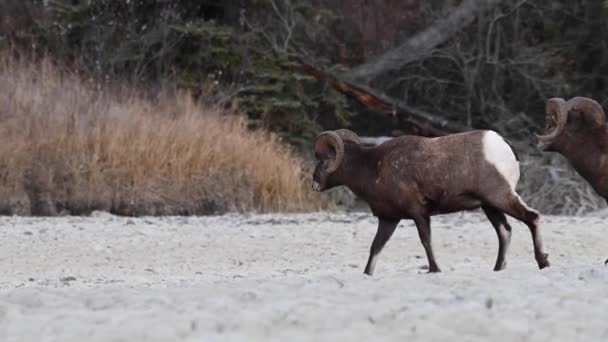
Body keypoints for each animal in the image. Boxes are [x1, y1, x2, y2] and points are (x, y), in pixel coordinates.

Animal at [314, 128, 552, 276]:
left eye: (323, 159)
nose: (315, 184)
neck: (373, 167)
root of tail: (504, 146)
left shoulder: (418, 213)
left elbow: (426, 240)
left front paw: (434, 269)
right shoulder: (389, 219)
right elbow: (376, 247)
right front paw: (367, 273)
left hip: (500, 198)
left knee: (531, 218)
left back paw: (543, 262)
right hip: (490, 206)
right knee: (505, 231)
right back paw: (498, 268)